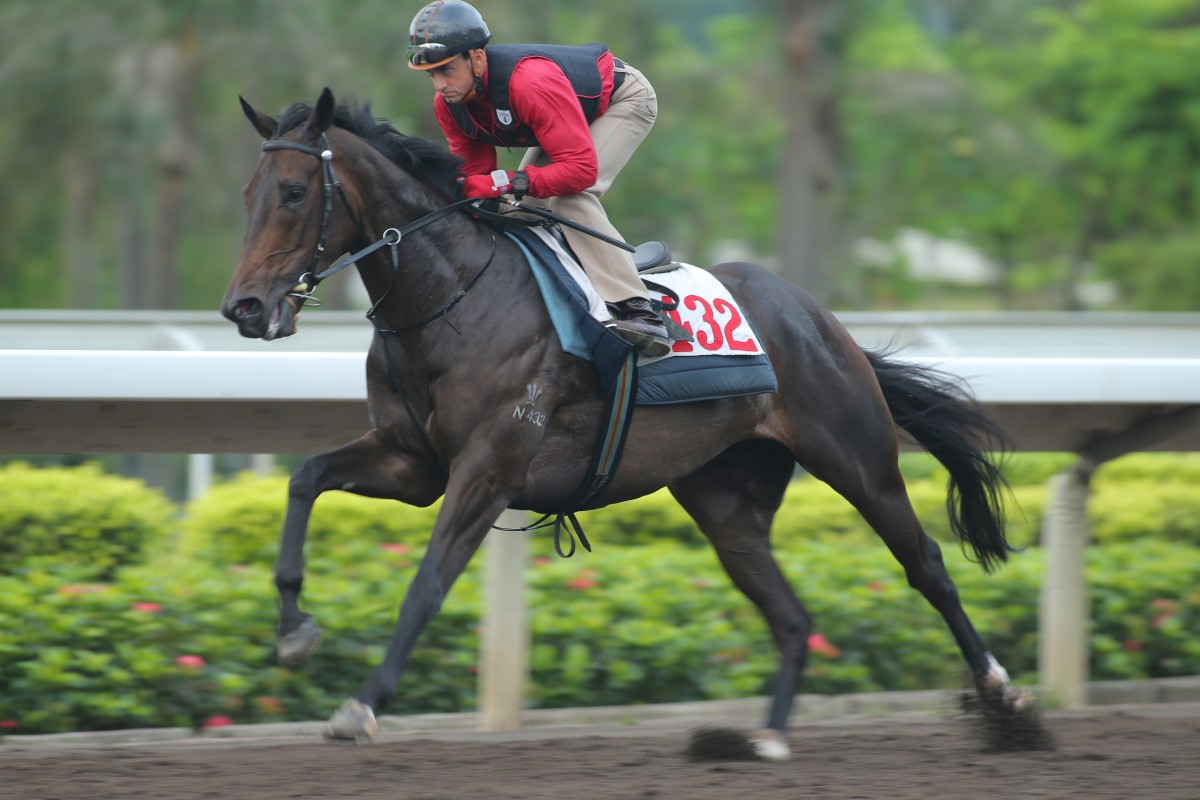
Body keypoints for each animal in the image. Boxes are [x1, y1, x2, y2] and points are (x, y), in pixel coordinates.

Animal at [223, 90, 1041, 762]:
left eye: (294, 191)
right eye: (247, 193)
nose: (246, 308)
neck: (453, 296)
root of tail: (819, 317)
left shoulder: (488, 467)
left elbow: (427, 584)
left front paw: (361, 704)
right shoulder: (411, 461)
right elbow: (304, 479)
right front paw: (294, 631)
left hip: (856, 457)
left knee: (927, 565)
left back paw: (1004, 696)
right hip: (724, 499)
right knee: (790, 613)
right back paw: (766, 738)